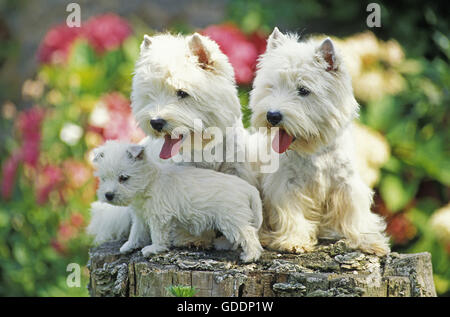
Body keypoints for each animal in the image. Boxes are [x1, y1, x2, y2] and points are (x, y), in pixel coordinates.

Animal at [95, 141, 264, 262]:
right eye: (103, 179)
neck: (150, 182)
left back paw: (250, 256)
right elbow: (135, 232)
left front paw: (153, 248)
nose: (108, 195)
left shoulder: (159, 218)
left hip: (232, 219)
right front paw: (129, 246)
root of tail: (247, 188)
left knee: (248, 235)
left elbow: (157, 235)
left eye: (123, 178)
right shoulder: (140, 217)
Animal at [250, 28, 390, 256]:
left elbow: (356, 214)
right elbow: (292, 212)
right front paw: (293, 241)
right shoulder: (286, 184)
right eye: (271, 87)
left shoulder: (347, 183)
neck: (315, 151)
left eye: (303, 90)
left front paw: (370, 242)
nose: (272, 116)